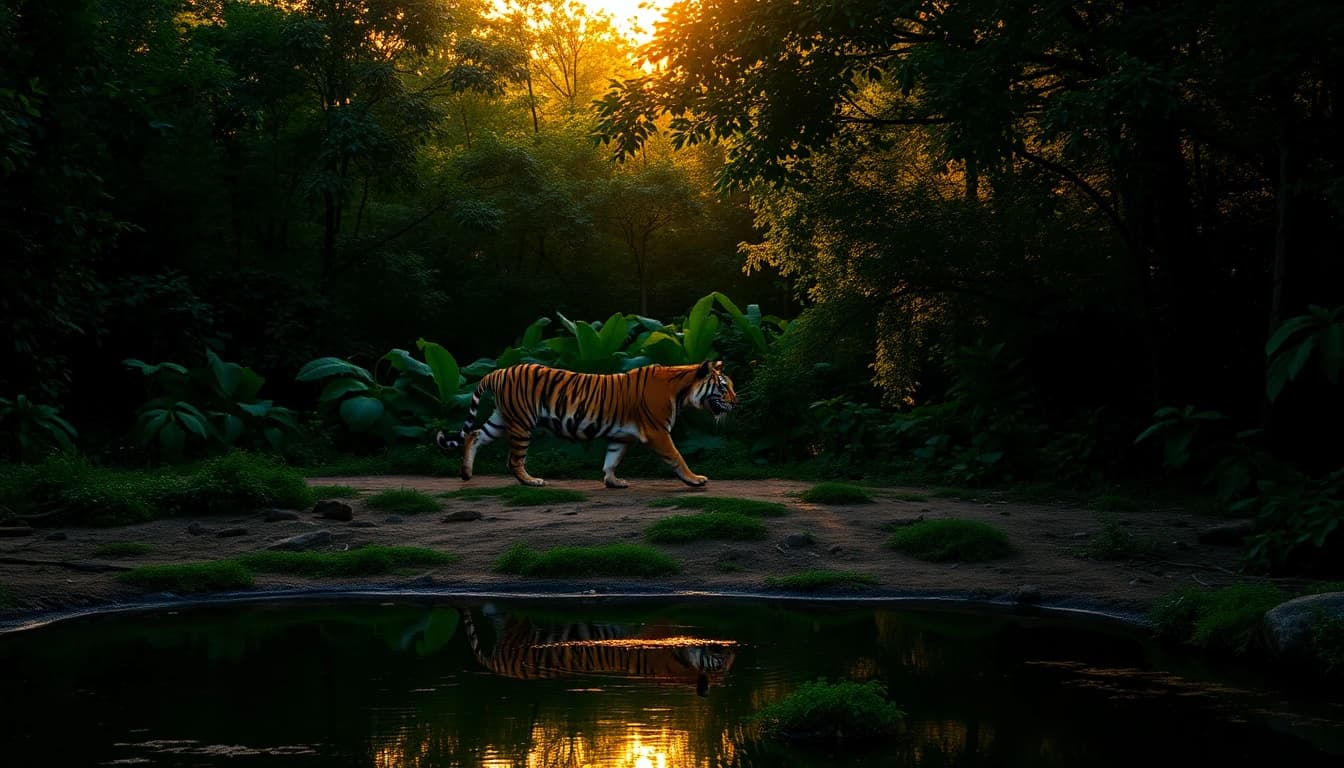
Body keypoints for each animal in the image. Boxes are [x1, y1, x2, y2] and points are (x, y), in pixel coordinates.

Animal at [434, 360, 736, 488]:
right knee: (514, 459)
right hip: (521, 423)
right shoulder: (657, 432)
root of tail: (498, 371)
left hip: (502, 419)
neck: (681, 392)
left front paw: (613, 482)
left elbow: (612, 459)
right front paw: (695, 479)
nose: (736, 403)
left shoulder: (621, 436)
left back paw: (466, 473)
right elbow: (677, 457)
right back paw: (532, 481)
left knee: (474, 434)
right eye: (724, 388)